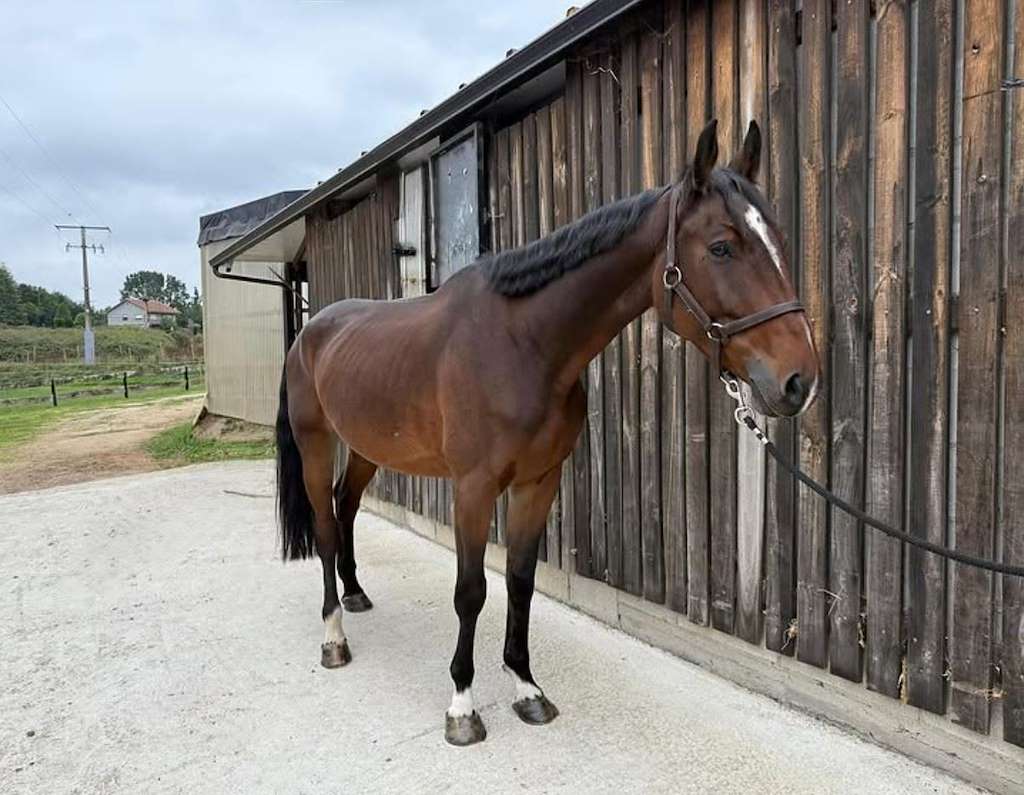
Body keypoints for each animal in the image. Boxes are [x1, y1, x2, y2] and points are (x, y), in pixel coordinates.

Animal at [274, 119, 820, 746]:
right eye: (721, 247)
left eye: (777, 238)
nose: (800, 380)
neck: (523, 344)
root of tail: (309, 330)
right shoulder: (473, 488)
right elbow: (471, 591)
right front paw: (462, 706)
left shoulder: (539, 482)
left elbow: (519, 581)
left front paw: (526, 688)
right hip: (317, 443)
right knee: (324, 525)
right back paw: (334, 637)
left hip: (367, 447)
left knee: (346, 507)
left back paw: (357, 594)